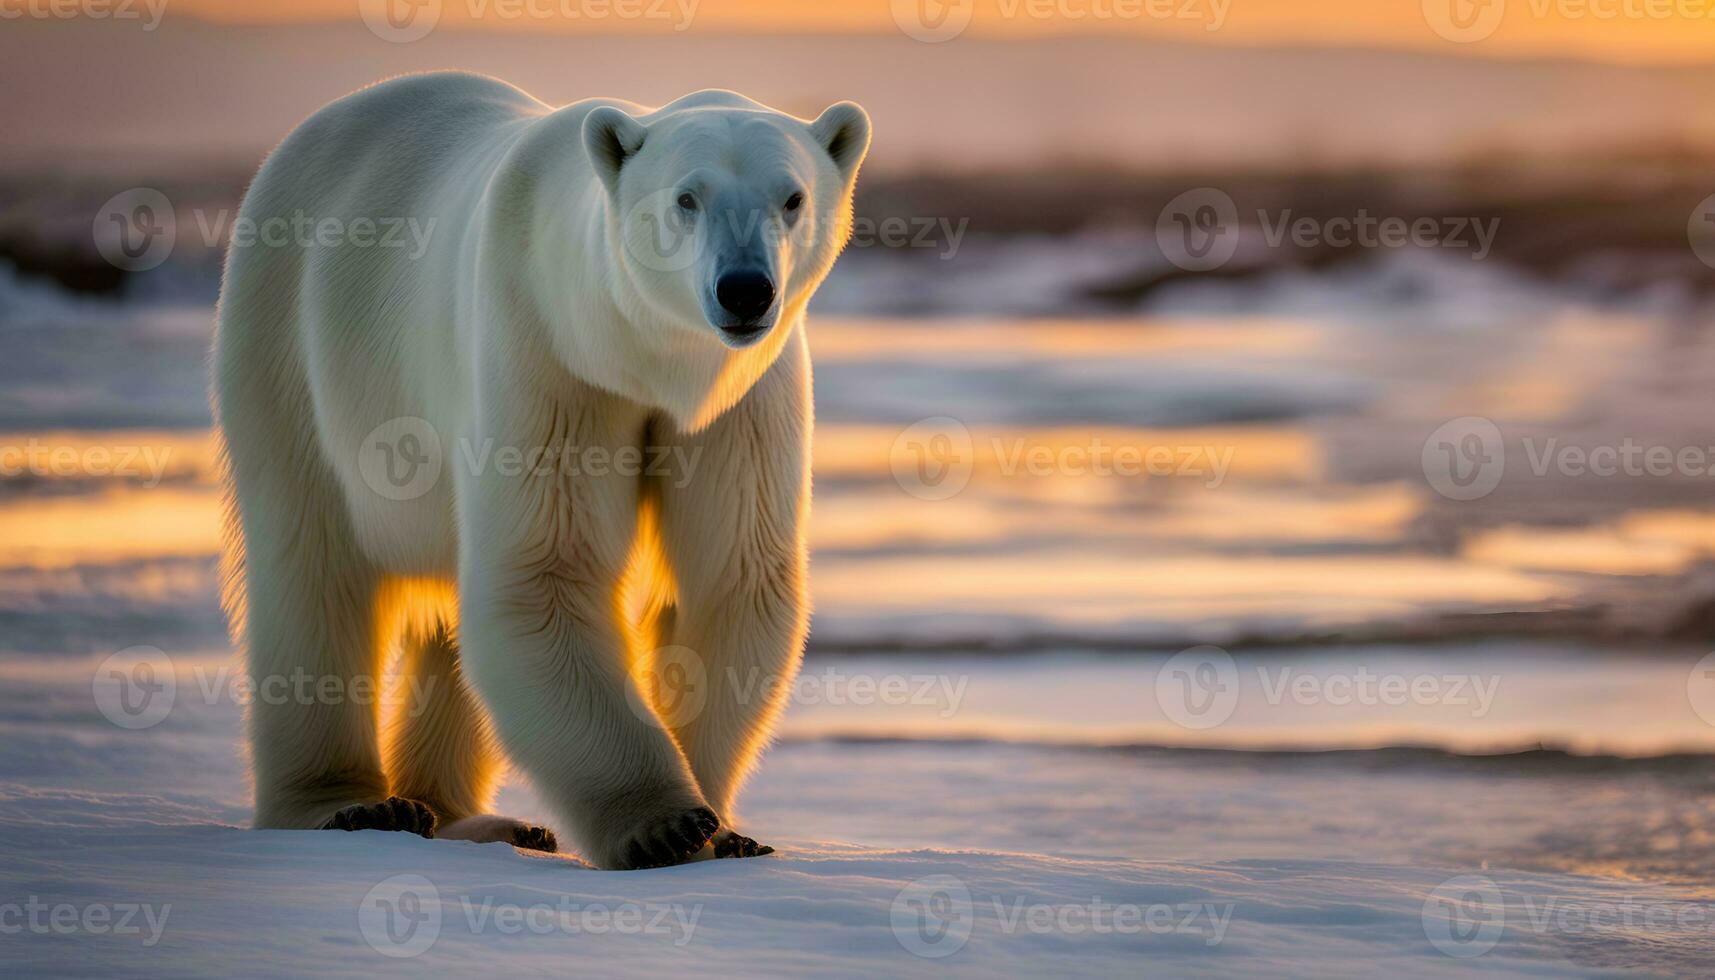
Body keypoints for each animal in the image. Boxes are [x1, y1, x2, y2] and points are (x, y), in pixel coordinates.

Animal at [212, 72, 864, 871]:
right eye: (687, 197)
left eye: (791, 197)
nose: (745, 289)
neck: (635, 358)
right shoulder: (546, 357)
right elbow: (546, 571)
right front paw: (667, 824)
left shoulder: (740, 399)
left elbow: (734, 574)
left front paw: (725, 830)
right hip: (288, 344)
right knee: (310, 566)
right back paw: (349, 805)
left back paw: (469, 817)